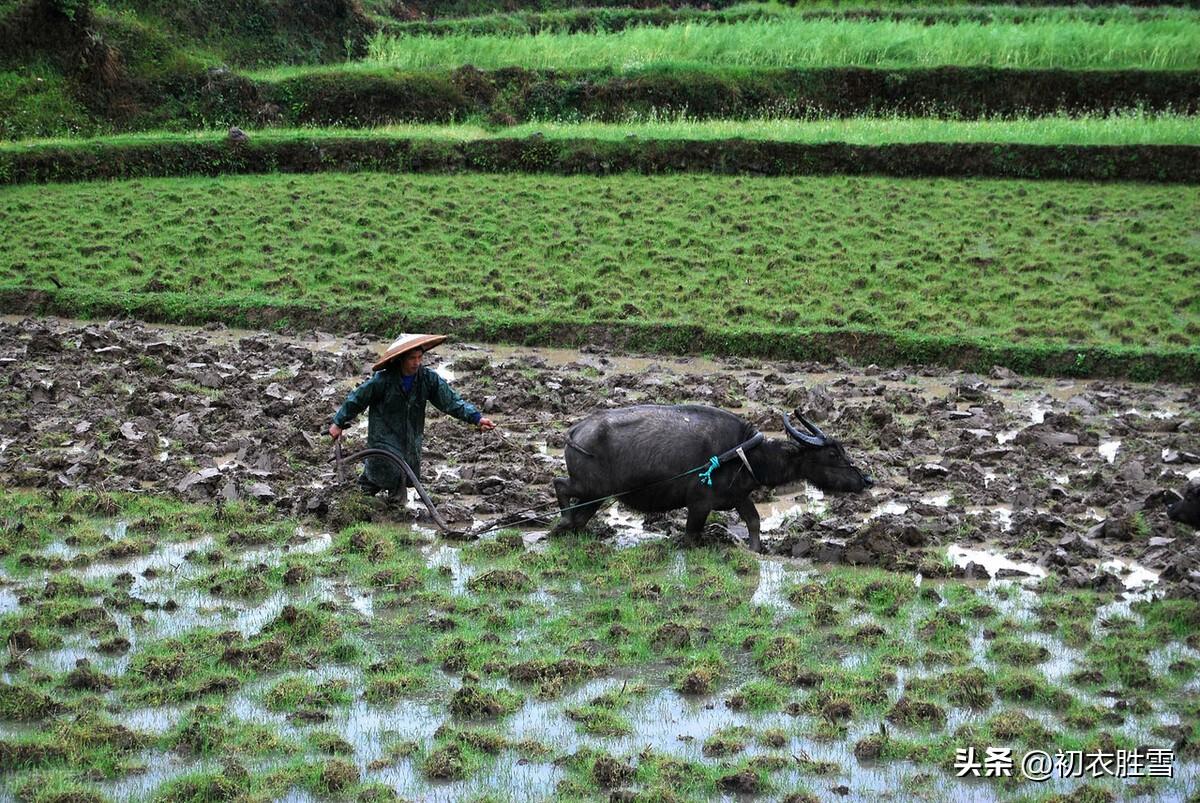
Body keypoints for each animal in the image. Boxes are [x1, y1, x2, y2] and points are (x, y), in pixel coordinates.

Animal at [552, 400, 873, 552]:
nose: (866, 480)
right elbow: (691, 534)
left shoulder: (738, 497)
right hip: (592, 488)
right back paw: (562, 522)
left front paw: (755, 549)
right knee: (560, 485)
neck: (744, 454)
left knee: (579, 515)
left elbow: (754, 521)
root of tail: (576, 430)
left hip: (595, 496)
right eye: (832, 454)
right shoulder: (699, 504)